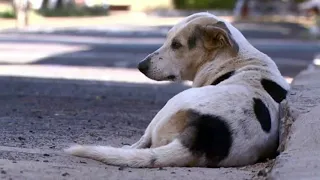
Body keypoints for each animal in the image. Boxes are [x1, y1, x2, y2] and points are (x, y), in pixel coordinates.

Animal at [65, 12, 290, 167]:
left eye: (176, 45)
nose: (140, 66)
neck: (234, 58)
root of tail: (201, 135)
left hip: (170, 105)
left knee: (142, 142)